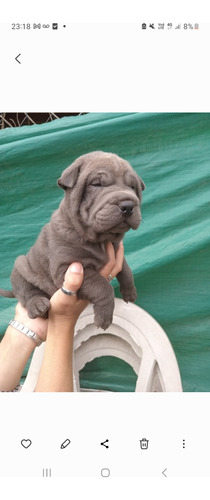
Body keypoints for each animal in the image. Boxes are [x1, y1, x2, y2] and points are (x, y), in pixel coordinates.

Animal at [0, 149, 144, 328]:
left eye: (132, 187)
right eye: (97, 184)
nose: (128, 205)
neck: (101, 240)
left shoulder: (117, 250)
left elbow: (125, 268)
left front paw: (130, 292)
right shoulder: (66, 268)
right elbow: (101, 285)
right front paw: (103, 318)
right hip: (21, 267)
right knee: (27, 291)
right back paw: (38, 306)